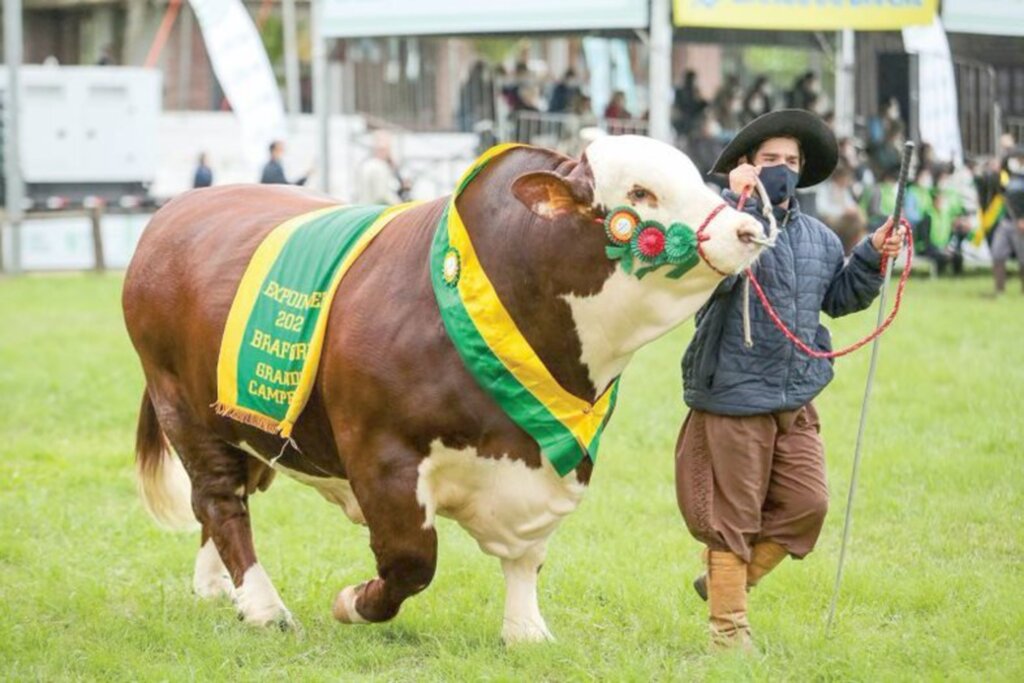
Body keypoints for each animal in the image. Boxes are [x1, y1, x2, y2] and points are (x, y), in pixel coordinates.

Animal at [121, 137, 770, 643]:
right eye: (640, 193)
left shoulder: (553, 461)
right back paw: (263, 606)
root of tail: (177, 208)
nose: (749, 229)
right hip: (183, 409)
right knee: (220, 500)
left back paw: (217, 588)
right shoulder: (382, 455)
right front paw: (353, 603)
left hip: (248, 425)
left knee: (231, 496)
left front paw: (526, 631)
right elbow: (411, 560)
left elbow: (528, 556)